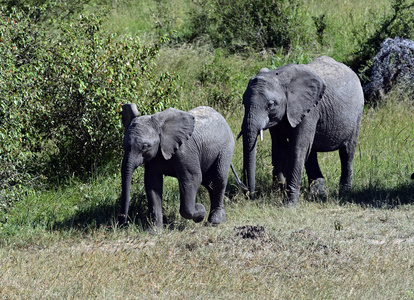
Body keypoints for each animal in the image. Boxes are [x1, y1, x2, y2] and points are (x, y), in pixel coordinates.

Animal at [241, 56, 364, 204]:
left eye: (270, 105)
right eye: (243, 102)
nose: (249, 196)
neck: (279, 77)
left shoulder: (310, 110)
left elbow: (297, 149)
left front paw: (289, 204)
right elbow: (279, 148)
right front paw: (278, 193)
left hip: (357, 114)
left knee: (347, 152)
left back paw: (344, 195)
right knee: (311, 152)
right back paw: (318, 195)